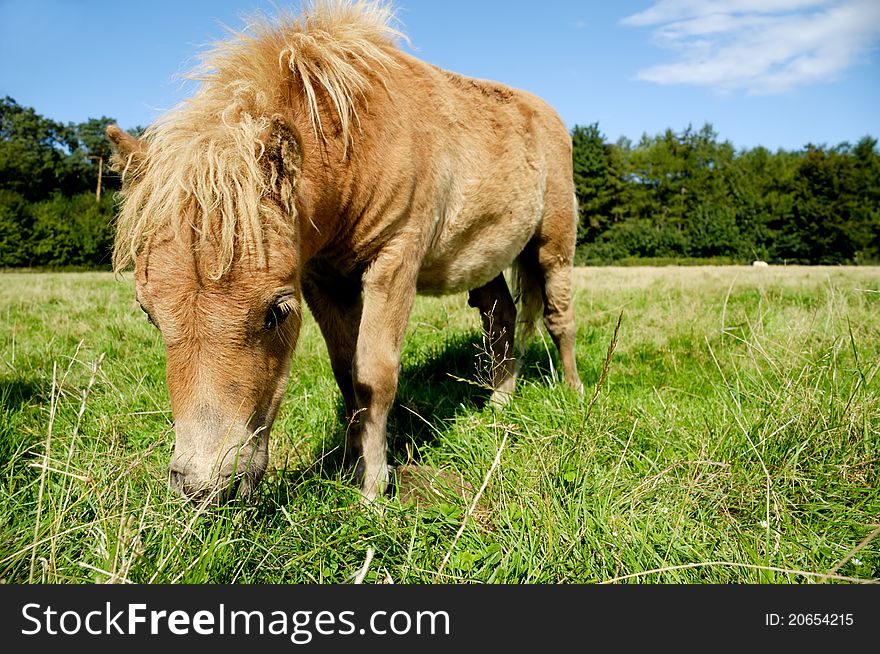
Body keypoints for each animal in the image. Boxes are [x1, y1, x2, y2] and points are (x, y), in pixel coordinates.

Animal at [106, 0, 584, 504]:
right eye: (149, 313)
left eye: (276, 312)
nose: (203, 487)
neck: (359, 143)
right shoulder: (323, 280)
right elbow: (345, 372)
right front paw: (352, 465)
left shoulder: (393, 263)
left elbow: (374, 374)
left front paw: (373, 487)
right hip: (485, 261)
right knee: (501, 319)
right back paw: (499, 402)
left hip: (553, 247)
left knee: (558, 317)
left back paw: (573, 392)